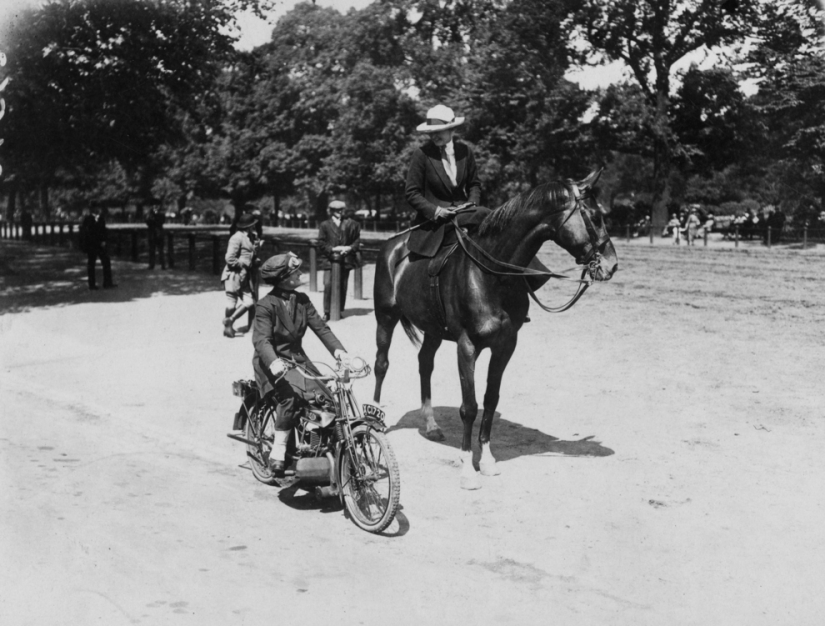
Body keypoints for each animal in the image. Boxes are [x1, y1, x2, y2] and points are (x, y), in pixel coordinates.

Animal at [370, 167, 616, 488]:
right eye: (596, 216)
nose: (611, 265)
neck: (489, 275)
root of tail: (391, 245)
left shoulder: (505, 346)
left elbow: (489, 400)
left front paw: (486, 461)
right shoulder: (466, 346)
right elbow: (469, 407)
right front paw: (467, 469)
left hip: (433, 330)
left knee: (425, 364)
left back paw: (431, 424)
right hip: (385, 318)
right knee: (381, 364)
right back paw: (373, 419)